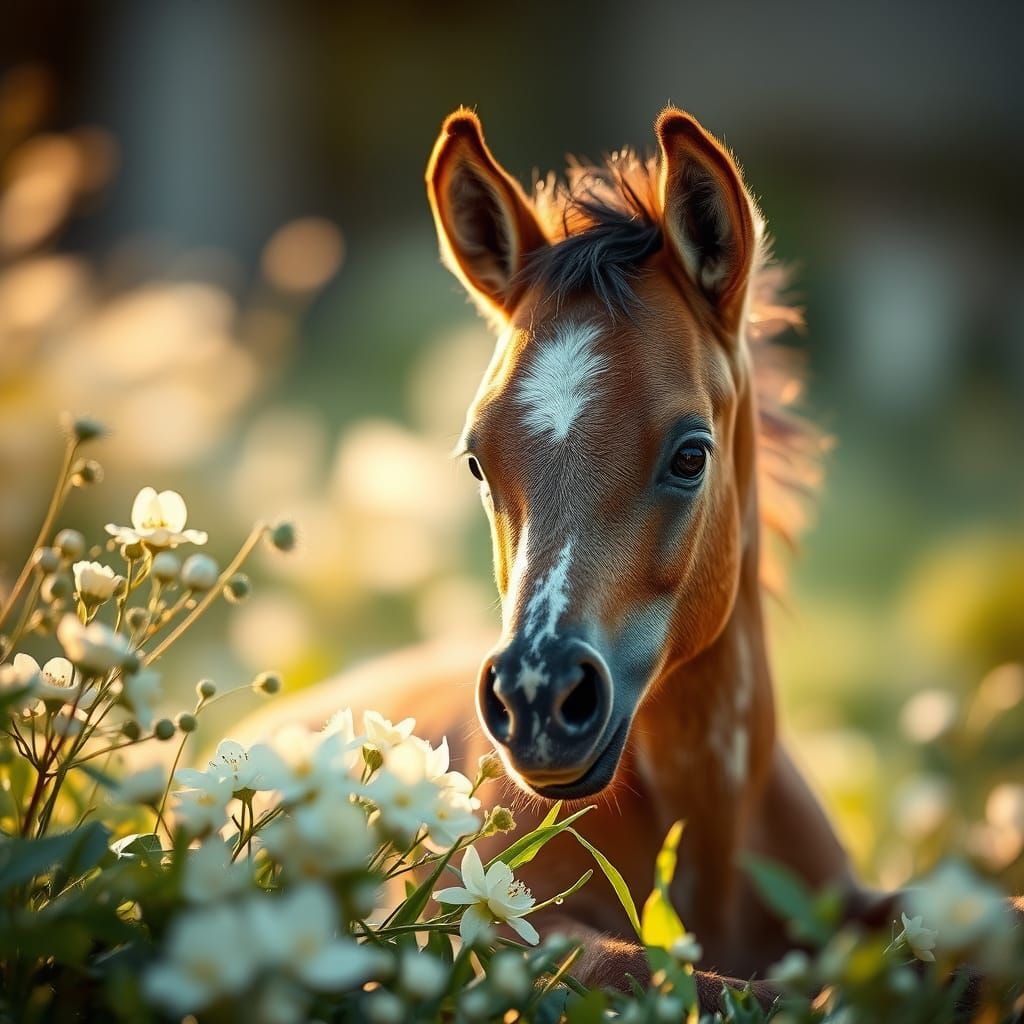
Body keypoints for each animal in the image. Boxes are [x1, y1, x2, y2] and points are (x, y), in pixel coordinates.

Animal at [239, 106, 887, 1007]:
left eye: (691, 454)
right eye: (477, 461)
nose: (537, 697)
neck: (712, 830)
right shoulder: (485, 923)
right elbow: (674, 976)